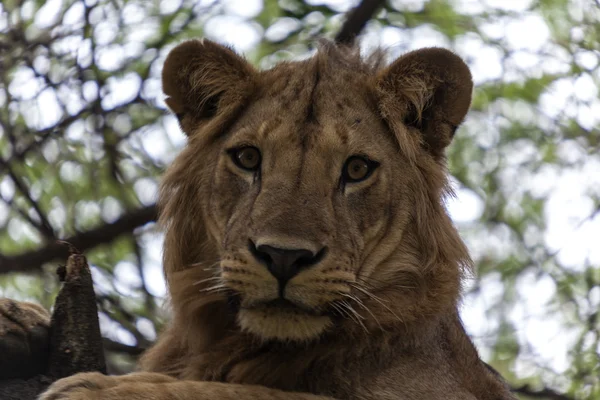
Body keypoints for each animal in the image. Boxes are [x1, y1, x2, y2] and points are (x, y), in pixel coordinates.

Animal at [0, 38, 516, 400]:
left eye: (356, 169)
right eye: (248, 158)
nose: (283, 257)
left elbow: (259, 394)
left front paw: (110, 389)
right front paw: (17, 320)